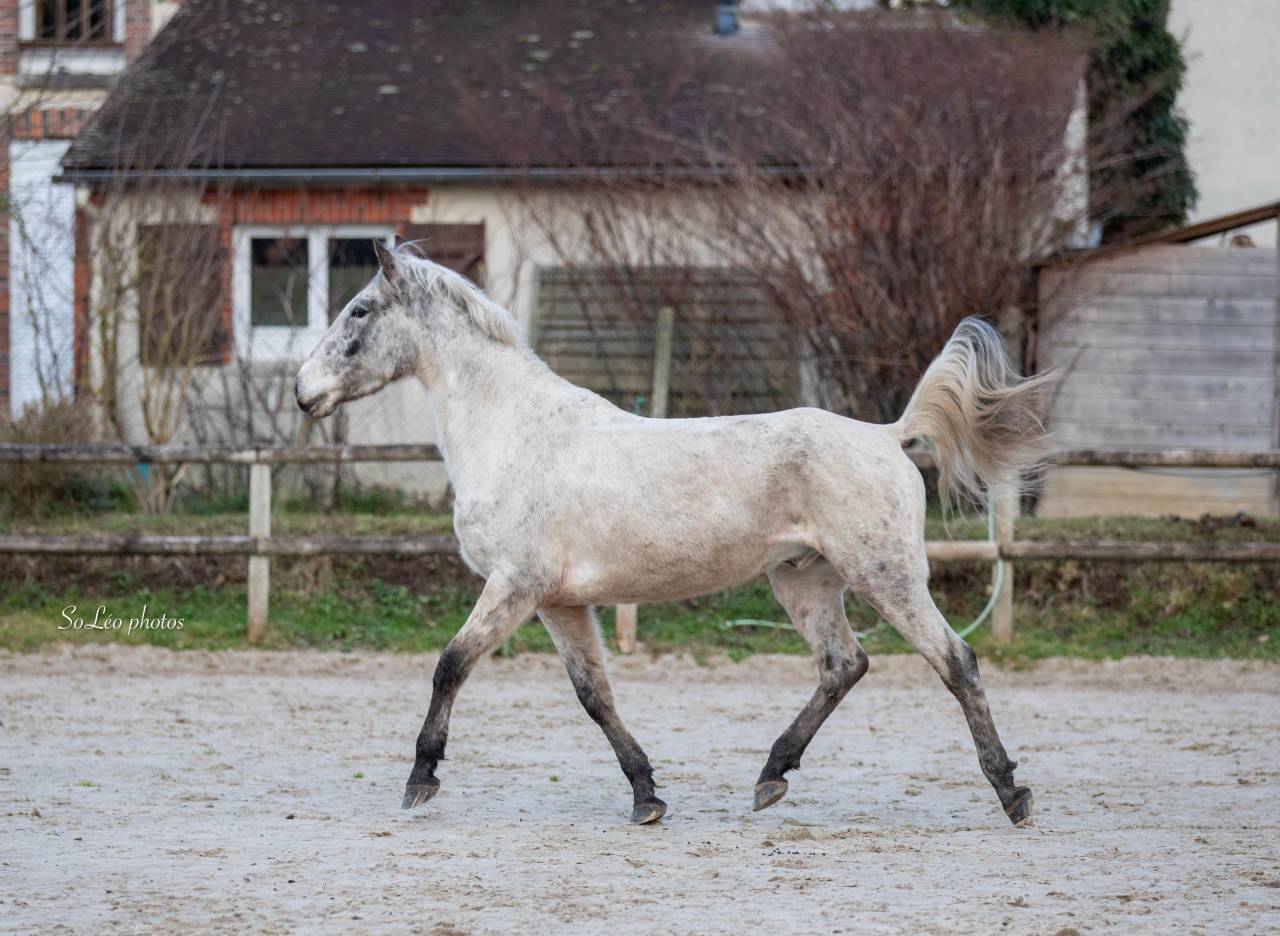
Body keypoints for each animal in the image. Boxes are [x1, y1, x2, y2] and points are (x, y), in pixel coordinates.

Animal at [295, 242, 1050, 826]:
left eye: (359, 309)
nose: (305, 392)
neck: (513, 431)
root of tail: (888, 435)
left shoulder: (515, 585)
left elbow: (451, 664)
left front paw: (420, 779)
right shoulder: (558, 602)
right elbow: (595, 696)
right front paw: (647, 795)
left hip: (884, 575)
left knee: (955, 661)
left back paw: (1011, 792)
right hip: (803, 579)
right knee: (844, 665)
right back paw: (771, 777)